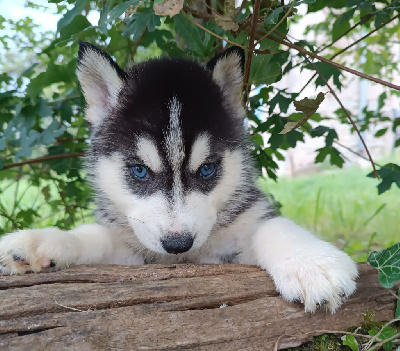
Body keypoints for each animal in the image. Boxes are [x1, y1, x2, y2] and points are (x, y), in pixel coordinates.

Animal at [0, 43, 356, 314]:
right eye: (139, 171)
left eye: (207, 169)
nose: (177, 244)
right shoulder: (133, 252)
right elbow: (94, 237)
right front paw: (37, 243)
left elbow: (272, 226)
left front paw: (310, 262)